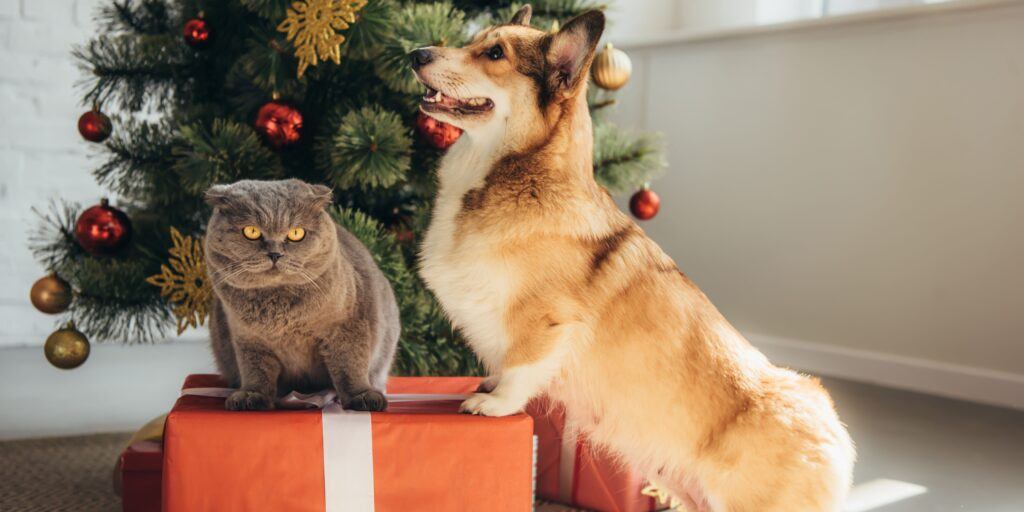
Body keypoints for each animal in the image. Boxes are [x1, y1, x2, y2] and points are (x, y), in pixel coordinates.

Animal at [203, 178, 399, 409]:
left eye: (296, 234)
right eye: (251, 231)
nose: (275, 253)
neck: (281, 313)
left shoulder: (348, 327)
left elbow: (350, 365)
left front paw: (362, 397)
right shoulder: (248, 339)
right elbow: (256, 371)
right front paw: (251, 396)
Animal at [411, 6, 851, 509]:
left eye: (495, 53)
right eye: (476, 41)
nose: (415, 53)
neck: (517, 174)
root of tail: (836, 435)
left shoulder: (546, 322)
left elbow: (521, 369)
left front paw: (495, 403)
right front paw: (487, 384)